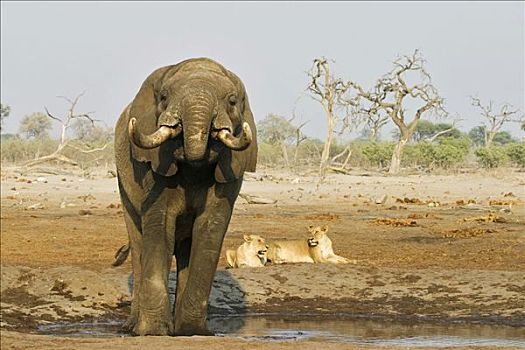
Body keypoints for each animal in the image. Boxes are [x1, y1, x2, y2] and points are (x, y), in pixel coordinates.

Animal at [113, 58, 256, 336]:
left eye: (232, 101)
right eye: (164, 97)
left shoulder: (231, 170)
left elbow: (209, 229)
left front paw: (193, 331)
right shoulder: (154, 164)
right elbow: (160, 226)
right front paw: (153, 332)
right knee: (138, 242)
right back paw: (132, 327)